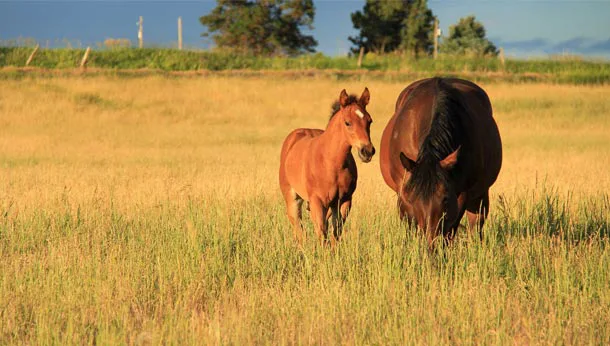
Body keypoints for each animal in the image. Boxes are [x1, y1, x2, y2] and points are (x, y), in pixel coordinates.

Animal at [278, 88, 372, 246]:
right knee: (299, 230)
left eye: (369, 121)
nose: (368, 151)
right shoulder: (317, 201)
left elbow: (335, 233)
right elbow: (322, 234)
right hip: (293, 199)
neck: (331, 163)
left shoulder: (344, 201)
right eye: (347, 123)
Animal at [378, 78, 502, 246]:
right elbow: (411, 227)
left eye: (445, 198)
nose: (431, 243)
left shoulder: (460, 195)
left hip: (481, 194)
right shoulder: (403, 195)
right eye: (413, 199)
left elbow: (451, 228)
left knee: (475, 225)